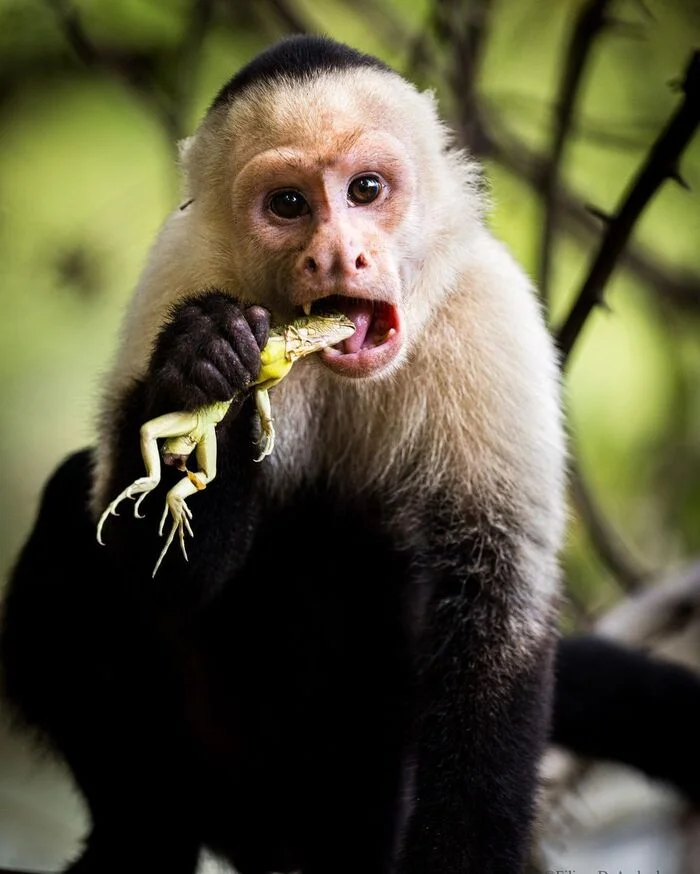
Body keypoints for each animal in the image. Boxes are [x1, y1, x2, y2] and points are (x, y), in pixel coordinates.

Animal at [1, 34, 696, 872]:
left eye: (366, 190)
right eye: (289, 205)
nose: (338, 256)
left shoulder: (491, 310)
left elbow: (495, 614)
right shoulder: (178, 274)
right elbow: (157, 573)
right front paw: (205, 362)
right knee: (72, 516)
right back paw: (141, 837)